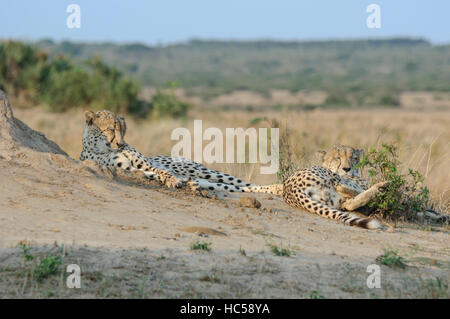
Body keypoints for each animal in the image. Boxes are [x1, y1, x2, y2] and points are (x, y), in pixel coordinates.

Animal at [244, 146, 384, 229]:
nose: (346, 168)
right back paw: (381, 186)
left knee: (348, 203)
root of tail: (290, 189)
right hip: (328, 176)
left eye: (353, 158)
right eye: (337, 158)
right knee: (341, 186)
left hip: (331, 200)